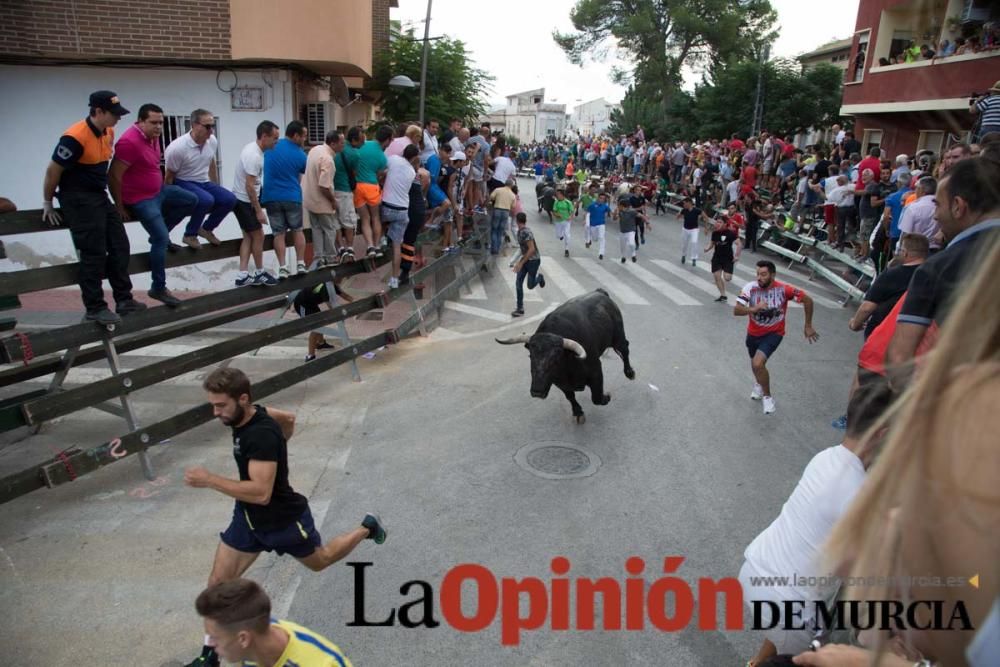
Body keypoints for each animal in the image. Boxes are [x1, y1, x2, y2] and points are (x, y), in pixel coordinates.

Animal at [498, 288, 636, 422]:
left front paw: (606, 397)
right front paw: (578, 412)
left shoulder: (596, 371)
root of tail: (600, 292)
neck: (569, 363)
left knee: (625, 349)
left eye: (555, 358)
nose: (537, 392)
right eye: (530, 356)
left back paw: (630, 373)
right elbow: (570, 396)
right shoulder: (560, 382)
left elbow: (596, 398)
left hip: (618, 337)